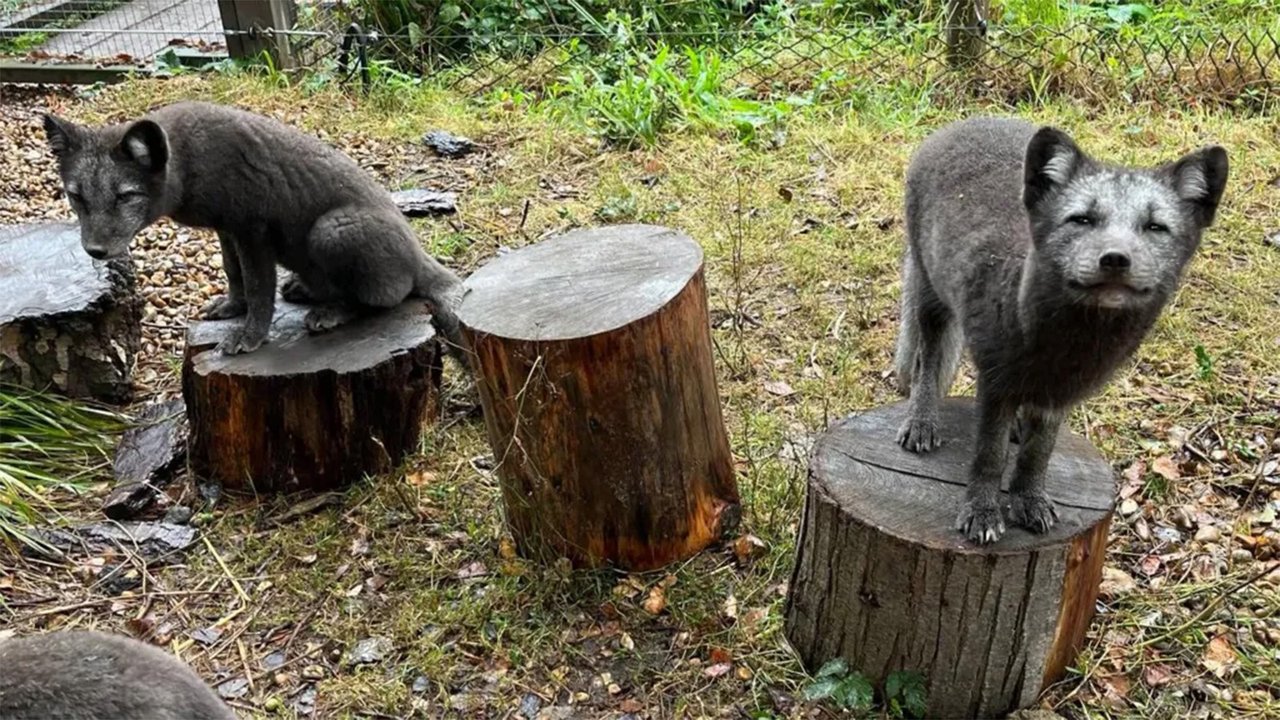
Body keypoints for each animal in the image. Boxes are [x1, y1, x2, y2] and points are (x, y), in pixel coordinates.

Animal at [42, 99, 468, 356]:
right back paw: (307, 290)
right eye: (76, 197)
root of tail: (419, 255)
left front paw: (250, 337)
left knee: (386, 298)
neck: (190, 161)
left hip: (329, 231)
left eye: (124, 196)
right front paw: (234, 307)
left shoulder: (253, 232)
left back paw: (333, 311)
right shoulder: (227, 230)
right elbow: (234, 274)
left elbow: (260, 289)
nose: (95, 252)